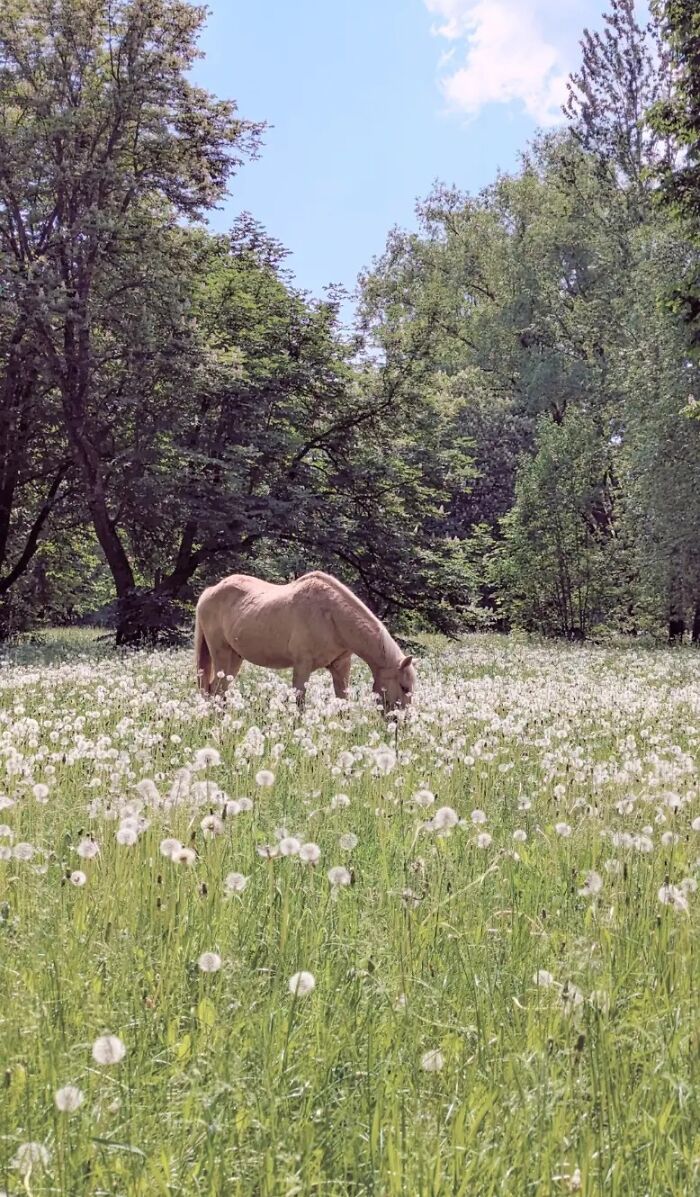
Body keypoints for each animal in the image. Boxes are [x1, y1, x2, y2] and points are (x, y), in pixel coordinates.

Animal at [194, 571, 416, 711]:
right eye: (404, 687)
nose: (400, 723)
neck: (331, 615)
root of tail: (210, 591)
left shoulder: (341, 666)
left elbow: (342, 702)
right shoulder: (302, 665)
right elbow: (299, 702)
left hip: (235, 657)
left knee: (218, 690)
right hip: (221, 653)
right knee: (215, 690)